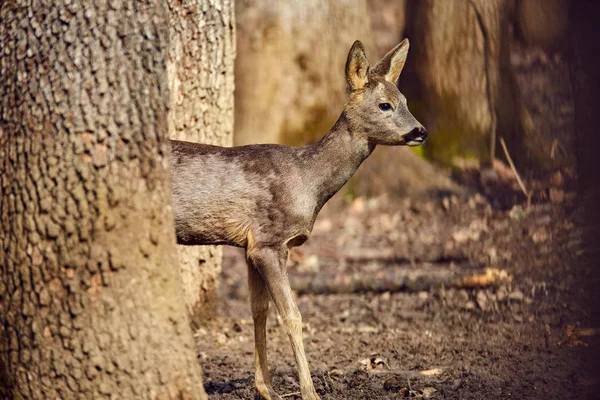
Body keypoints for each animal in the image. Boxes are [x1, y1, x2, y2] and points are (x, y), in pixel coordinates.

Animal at [170, 38, 426, 400]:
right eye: (385, 105)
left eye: (404, 100)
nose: (421, 131)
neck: (307, 180)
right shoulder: (269, 240)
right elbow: (292, 315)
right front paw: (309, 392)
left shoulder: (251, 245)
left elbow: (258, 309)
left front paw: (266, 389)